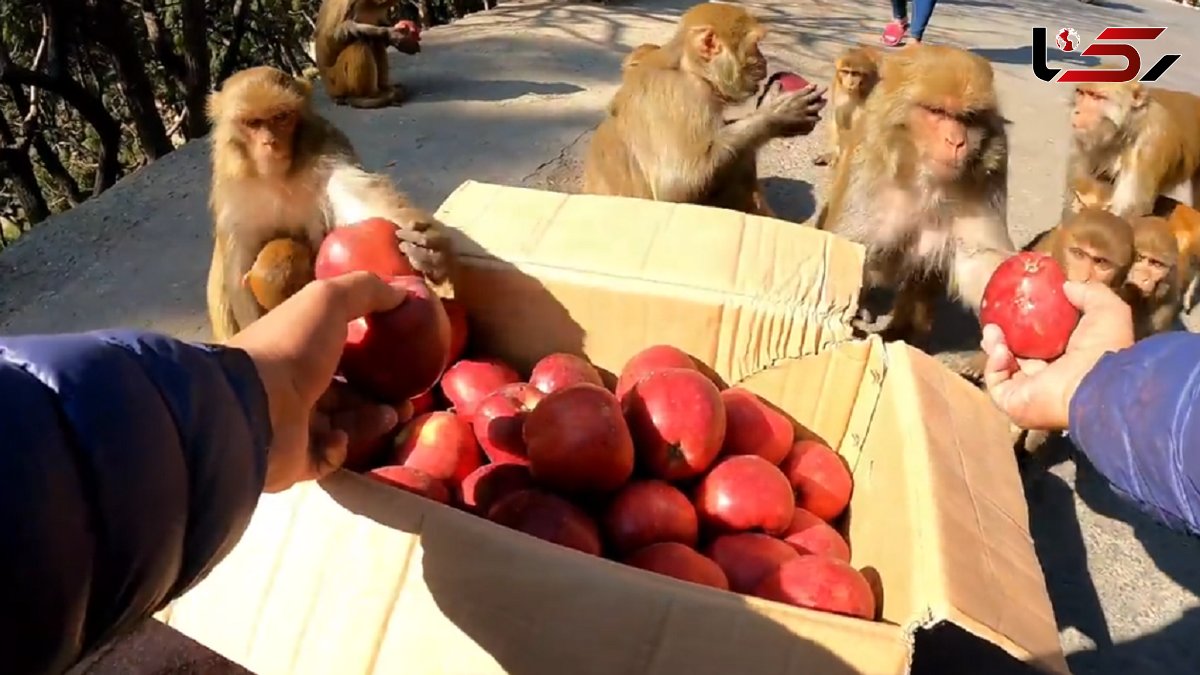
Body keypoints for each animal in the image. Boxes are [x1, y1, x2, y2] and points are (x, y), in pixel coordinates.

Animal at [204, 66, 451, 341]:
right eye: (252, 123)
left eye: (281, 117)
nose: (270, 143)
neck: (276, 176)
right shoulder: (231, 187)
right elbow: (237, 265)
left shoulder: (325, 149)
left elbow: (357, 198)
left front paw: (430, 250)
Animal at [578, 1, 825, 214]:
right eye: (755, 46)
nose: (764, 61)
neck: (687, 67)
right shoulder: (681, 92)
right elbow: (677, 187)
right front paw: (778, 116)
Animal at [816, 43, 1012, 341]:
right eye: (937, 112)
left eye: (967, 118)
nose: (957, 142)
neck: (924, 180)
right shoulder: (869, 178)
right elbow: (855, 251)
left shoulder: (987, 182)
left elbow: (976, 259)